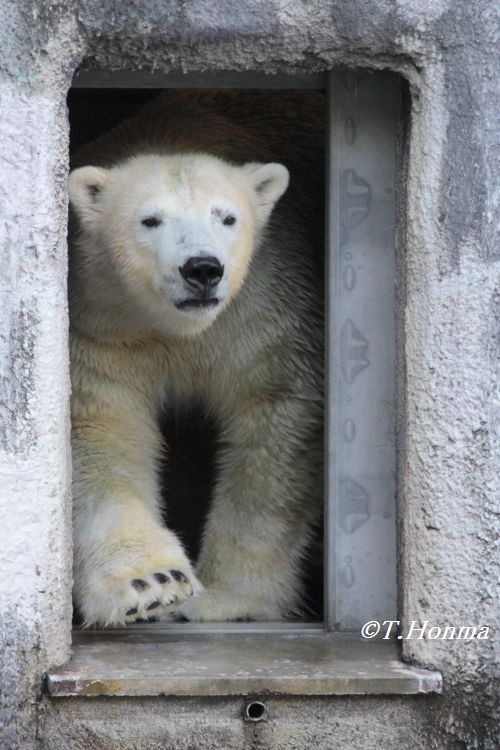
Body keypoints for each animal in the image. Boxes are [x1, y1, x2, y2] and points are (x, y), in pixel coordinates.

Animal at [68, 89, 322, 628]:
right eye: (150, 220)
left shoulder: (261, 306)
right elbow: (103, 434)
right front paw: (151, 586)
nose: (202, 269)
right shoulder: (105, 327)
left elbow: (275, 419)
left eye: (227, 217)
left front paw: (225, 599)